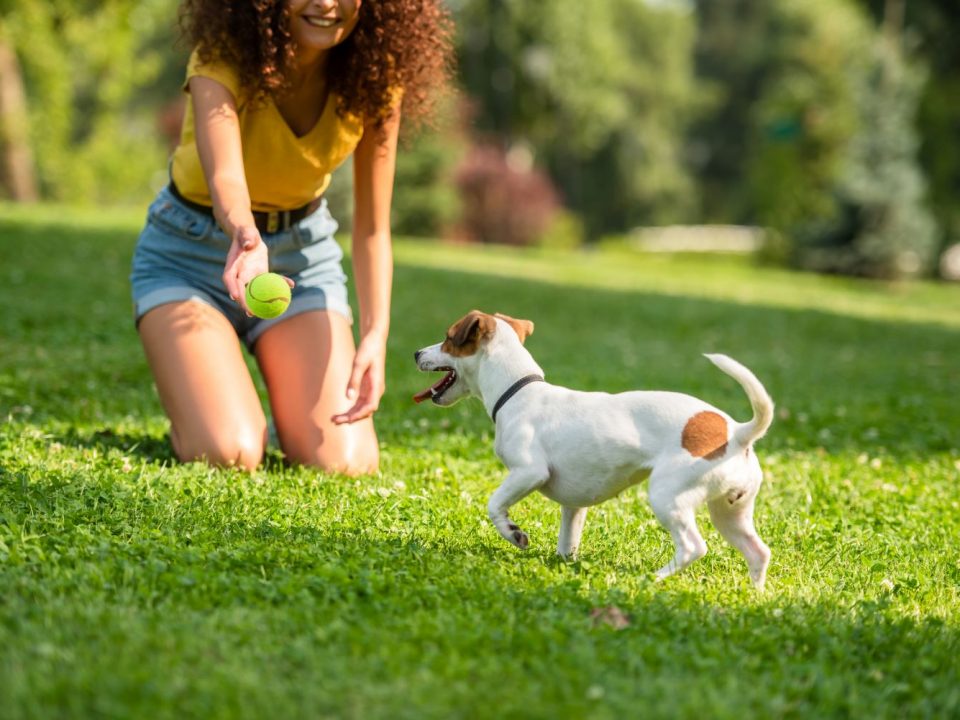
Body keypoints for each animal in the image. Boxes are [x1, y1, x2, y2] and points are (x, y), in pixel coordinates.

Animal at [412, 312, 772, 588]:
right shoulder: (574, 506)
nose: (416, 353)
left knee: (693, 547)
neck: (518, 390)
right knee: (758, 551)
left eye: (447, 338)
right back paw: (754, 595)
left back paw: (653, 579)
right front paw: (564, 563)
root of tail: (736, 433)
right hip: (730, 512)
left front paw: (514, 534)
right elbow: (568, 540)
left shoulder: (528, 472)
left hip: (669, 496)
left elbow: (494, 505)